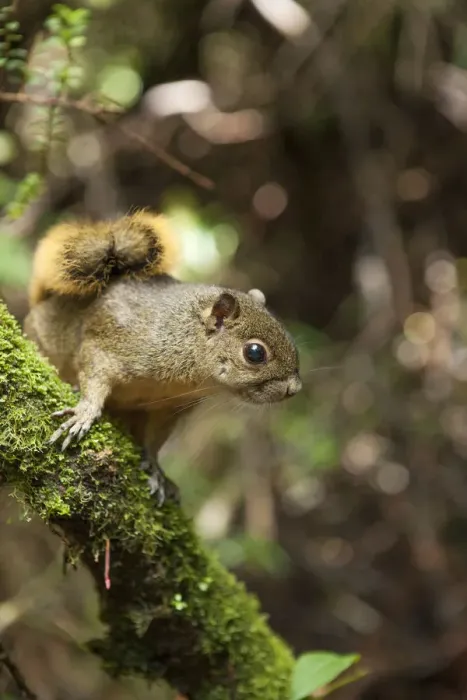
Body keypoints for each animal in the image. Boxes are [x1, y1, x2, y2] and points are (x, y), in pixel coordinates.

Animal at [24, 210, 301, 504]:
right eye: (255, 353)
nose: (294, 388)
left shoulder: (169, 407)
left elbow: (155, 440)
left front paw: (157, 469)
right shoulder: (110, 344)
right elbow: (94, 371)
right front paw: (85, 411)